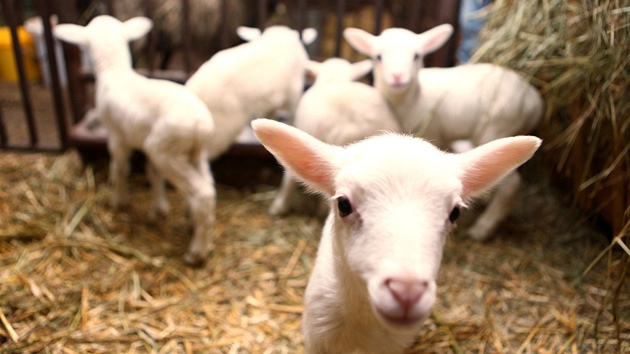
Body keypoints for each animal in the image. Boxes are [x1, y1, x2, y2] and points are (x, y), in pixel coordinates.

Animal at [53, 16, 220, 266]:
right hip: (193, 153)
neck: (114, 70)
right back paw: (201, 232)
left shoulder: (117, 136)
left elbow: (120, 167)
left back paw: (196, 253)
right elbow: (153, 174)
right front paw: (159, 209)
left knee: (202, 193)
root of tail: (201, 125)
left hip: (165, 151)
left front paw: (118, 200)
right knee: (208, 185)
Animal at [344, 24, 544, 241]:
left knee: (512, 185)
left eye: (416, 55)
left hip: (498, 127)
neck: (410, 98)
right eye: (378, 56)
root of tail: (535, 101)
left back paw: (482, 229)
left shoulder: (432, 132)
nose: (397, 77)